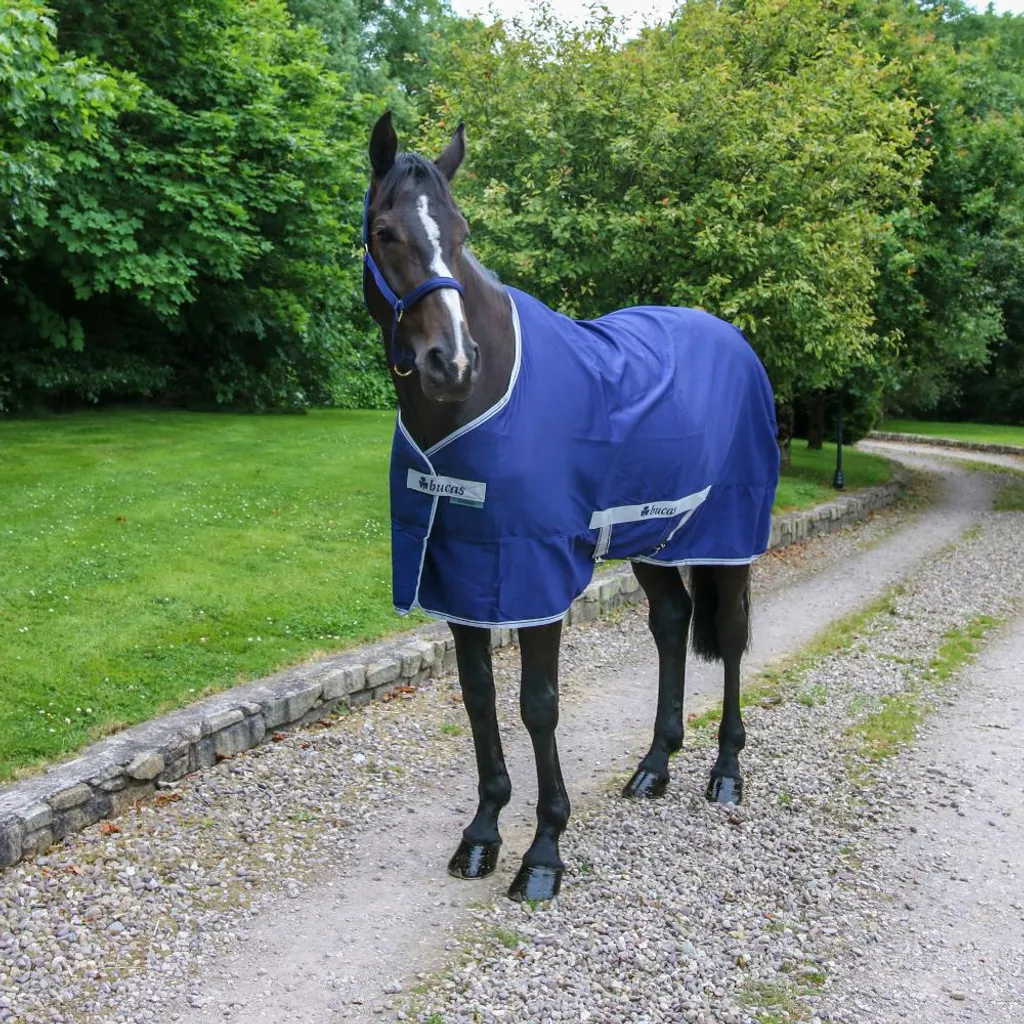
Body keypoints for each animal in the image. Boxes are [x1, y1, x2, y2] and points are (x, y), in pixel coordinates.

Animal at [361, 111, 780, 903]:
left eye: (461, 232)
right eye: (385, 233)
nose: (449, 362)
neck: (476, 400)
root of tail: (736, 341)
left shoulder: (533, 570)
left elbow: (538, 704)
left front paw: (544, 852)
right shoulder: (461, 571)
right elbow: (479, 696)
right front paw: (483, 833)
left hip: (727, 536)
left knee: (733, 637)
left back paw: (726, 773)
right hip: (651, 539)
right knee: (671, 623)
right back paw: (654, 766)